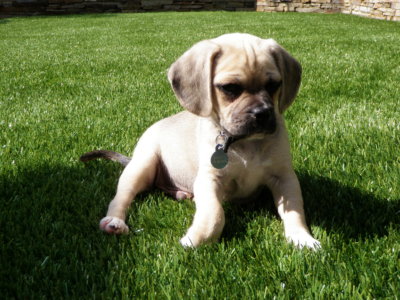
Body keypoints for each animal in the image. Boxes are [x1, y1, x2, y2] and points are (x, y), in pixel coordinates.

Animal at [81, 32, 322, 250]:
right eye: (230, 88)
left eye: (273, 85)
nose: (262, 114)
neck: (243, 143)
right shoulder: (209, 179)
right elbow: (215, 213)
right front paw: (196, 240)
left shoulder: (284, 177)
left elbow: (295, 212)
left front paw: (302, 238)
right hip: (142, 165)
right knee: (121, 197)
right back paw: (115, 222)